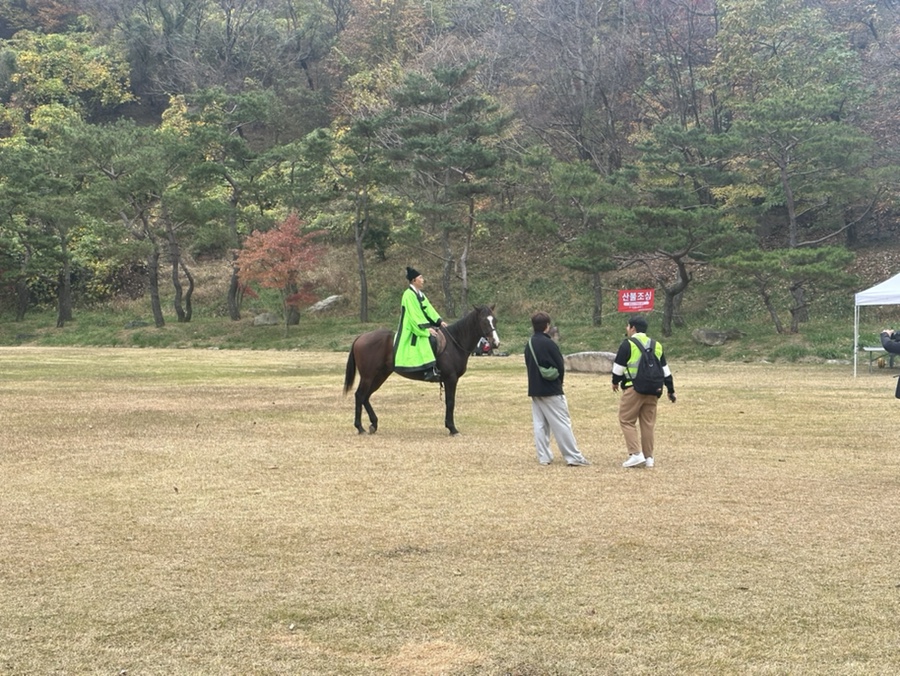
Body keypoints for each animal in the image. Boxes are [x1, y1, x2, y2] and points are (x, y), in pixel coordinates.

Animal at [342, 304, 500, 436]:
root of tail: (361, 337)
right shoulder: (451, 378)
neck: (455, 342)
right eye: (484, 321)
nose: (496, 343)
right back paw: (360, 427)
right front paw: (452, 428)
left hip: (380, 376)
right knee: (360, 396)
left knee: (366, 397)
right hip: (368, 377)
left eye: (495, 320)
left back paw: (373, 424)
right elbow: (450, 402)